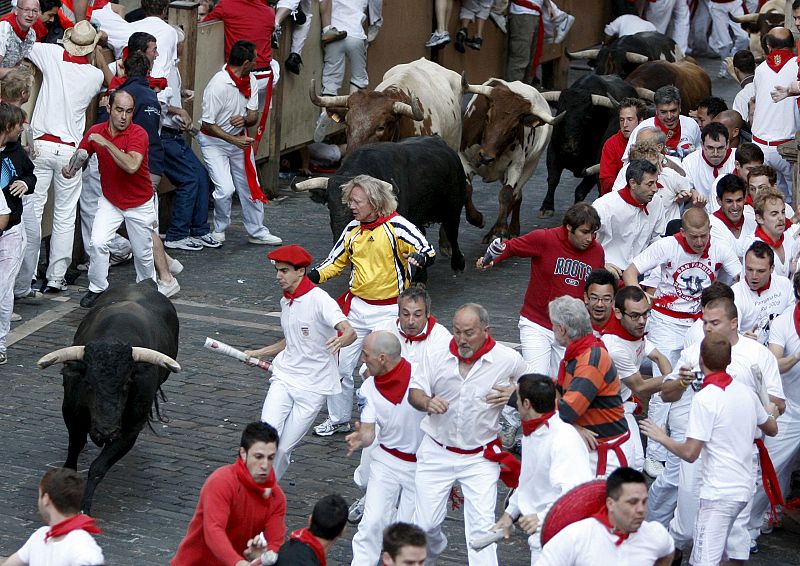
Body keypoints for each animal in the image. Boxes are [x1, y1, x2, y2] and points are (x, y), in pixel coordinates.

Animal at [37, 282, 180, 516]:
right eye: (88, 383)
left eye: (126, 383)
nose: (106, 431)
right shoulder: (71, 413)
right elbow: (74, 449)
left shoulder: (130, 429)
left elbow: (98, 467)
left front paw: (84, 507)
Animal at [460, 77, 560, 242]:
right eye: (487, 117)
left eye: (514, 127)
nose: (486, 157)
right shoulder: (463, 158)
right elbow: (467, 189)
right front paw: (477, 219)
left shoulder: (516, 166)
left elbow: (506, 195)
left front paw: (499, 231)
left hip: (531, 165)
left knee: (516, 196)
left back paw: (508, 230)